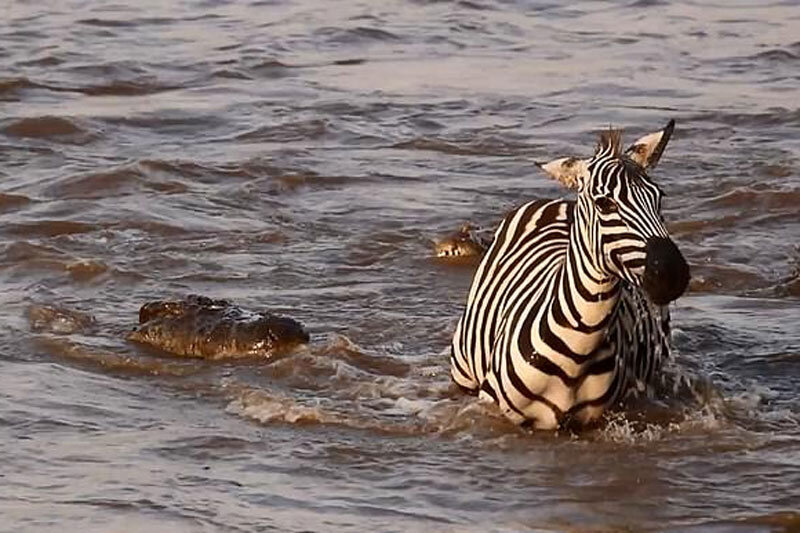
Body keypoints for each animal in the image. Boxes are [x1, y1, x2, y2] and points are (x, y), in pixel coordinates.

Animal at [450, 120, 688, 428]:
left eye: (659, 198)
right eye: (604, 204)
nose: (673, 274)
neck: (578, 352)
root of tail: (557, 203)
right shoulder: (493, 408)